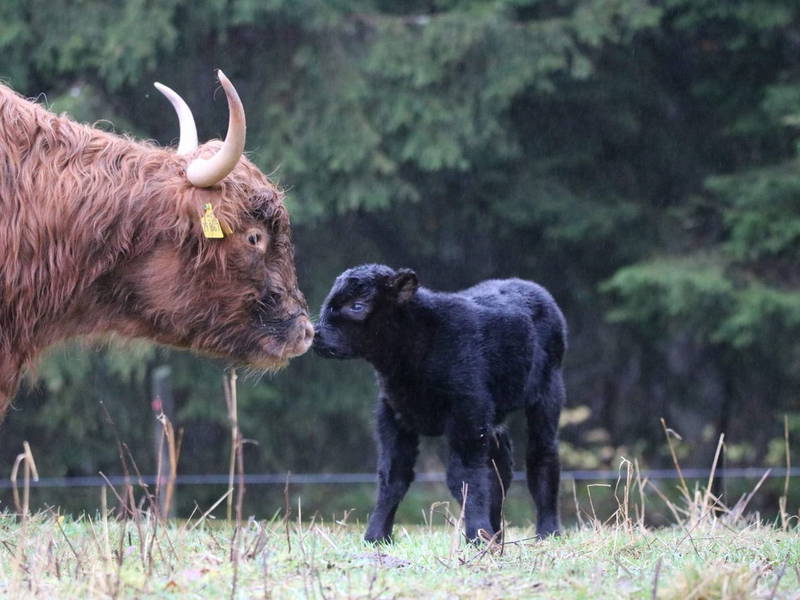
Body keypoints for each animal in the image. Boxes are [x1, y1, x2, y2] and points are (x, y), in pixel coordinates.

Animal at [314, 264, 568, 540]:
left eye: (357, 305)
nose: (316, 335)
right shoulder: (393, 413)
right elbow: (393, 475)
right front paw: (375, 536)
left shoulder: (468, 411)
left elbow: (465, 476)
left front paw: (476, 535)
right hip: (494, 417)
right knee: (501, 466)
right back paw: (497, 534)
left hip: (548, 391)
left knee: (542, 454)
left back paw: (547, 531)